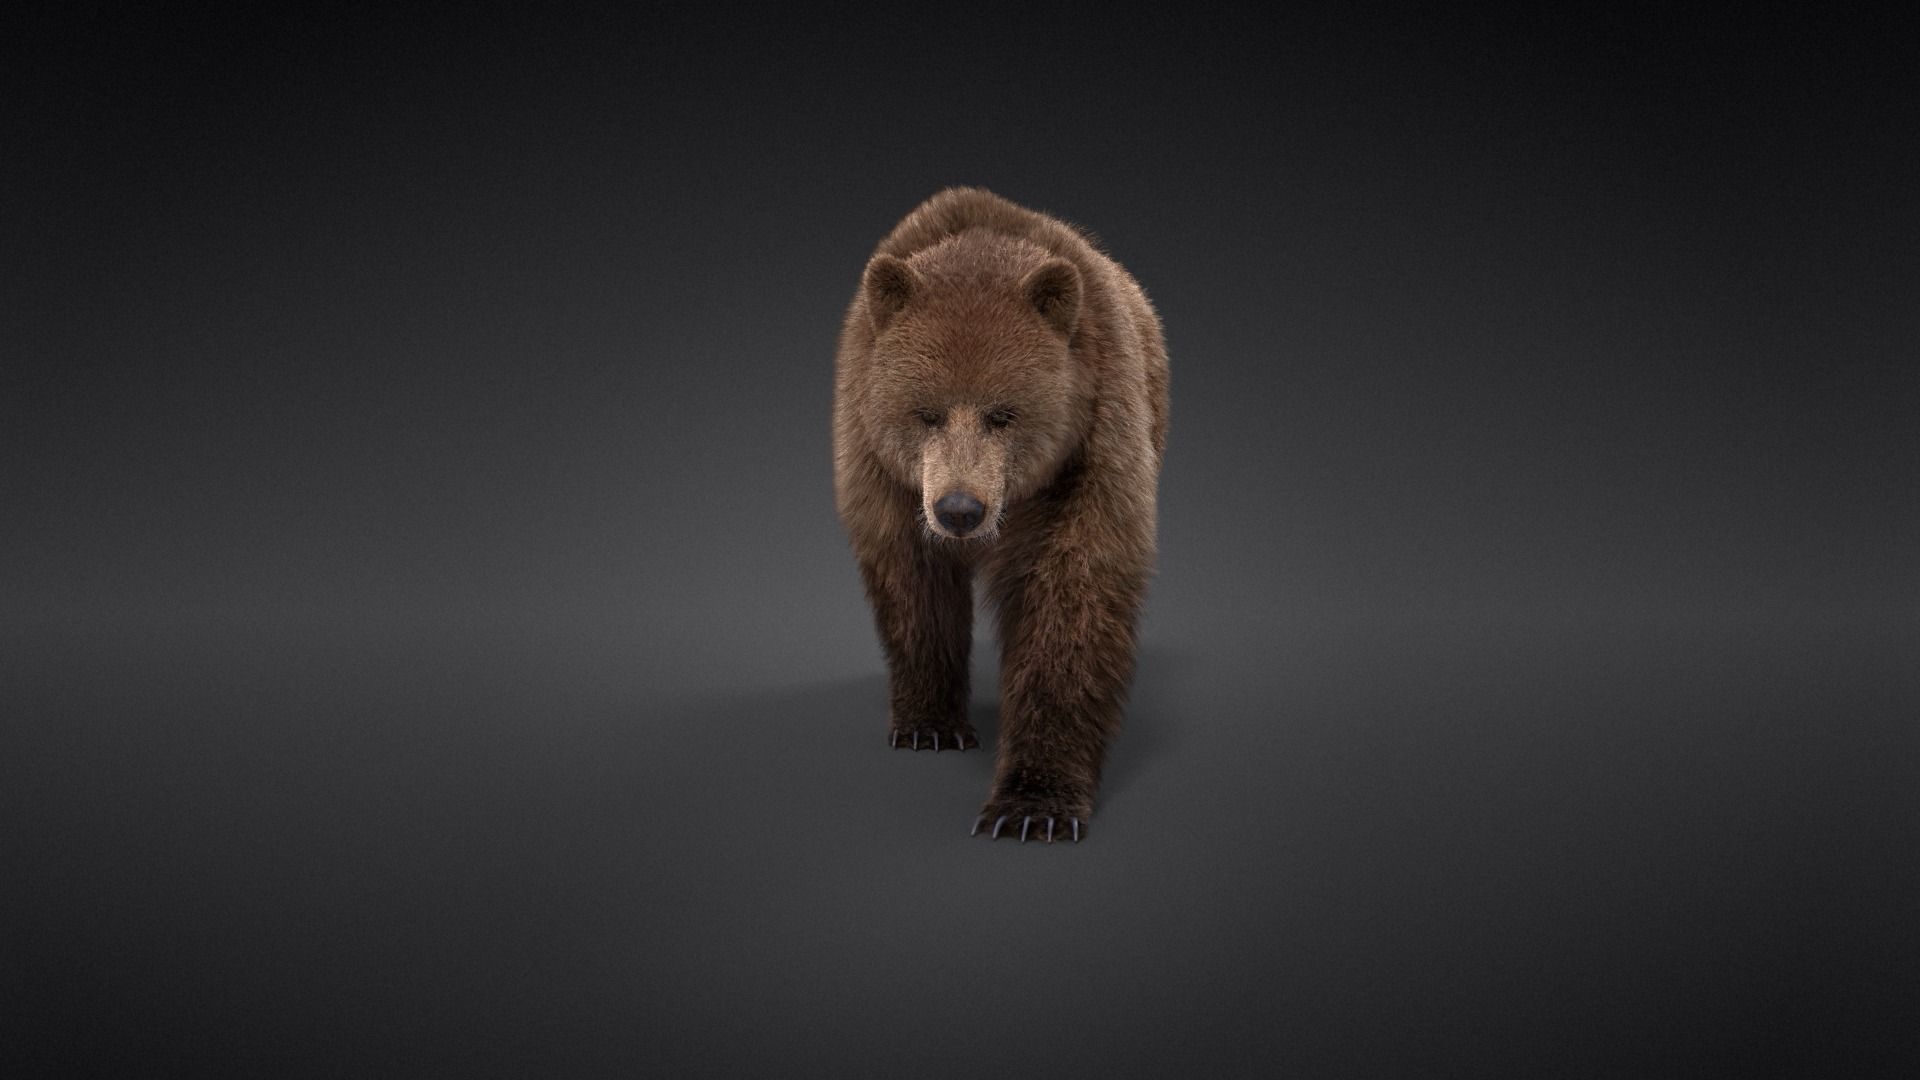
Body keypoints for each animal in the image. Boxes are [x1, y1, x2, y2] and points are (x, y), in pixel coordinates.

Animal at [832, 187, 1169, 843]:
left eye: (1003, 414)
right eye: (926, 412)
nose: (960, 508)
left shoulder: (1092, 448)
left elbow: (1071, 602)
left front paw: (1033, 803)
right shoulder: (879, 464)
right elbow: (912, 586)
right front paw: (929, 722)